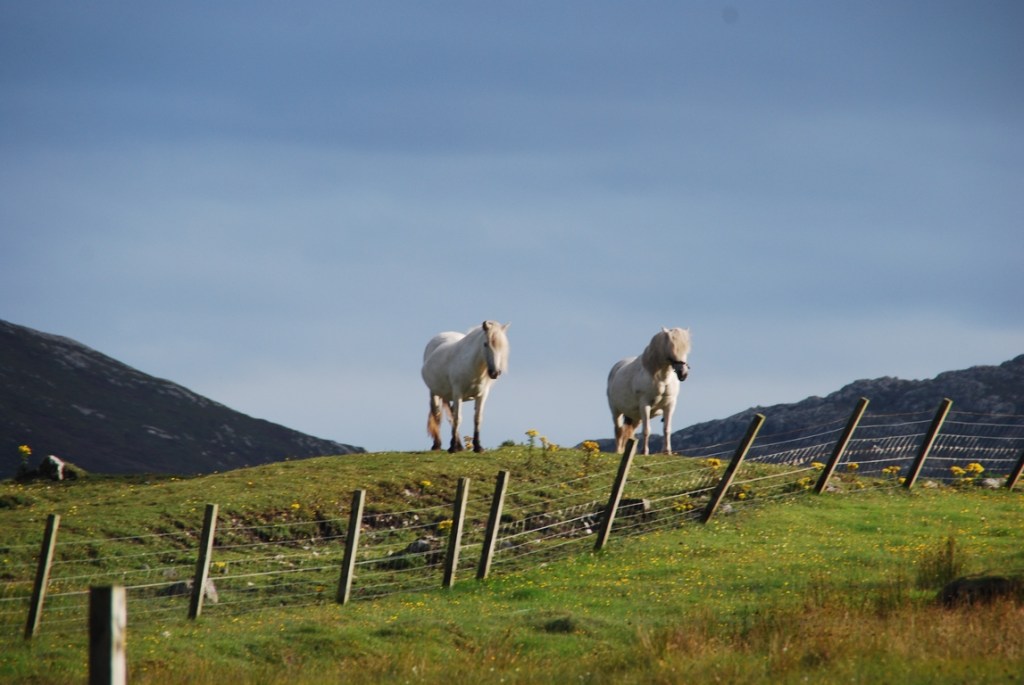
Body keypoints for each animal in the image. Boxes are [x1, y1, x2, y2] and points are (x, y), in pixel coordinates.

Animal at [421, 320, 510, 453]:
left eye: (502, 346)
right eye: (485, 344)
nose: (494, 373)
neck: (472, 367)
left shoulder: (482, 396)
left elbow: (477, 418)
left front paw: (478, 446)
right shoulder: (458, 394)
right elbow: (458, 418)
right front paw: (452, 447)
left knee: (450, 416)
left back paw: (459, 446)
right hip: (434, 393)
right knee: (437, 414)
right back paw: (437, 445)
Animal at [606, 327, 691, 456]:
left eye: (686, 349)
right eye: (671, 347)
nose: (683, 374)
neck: (662, 379)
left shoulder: (670, 405)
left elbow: (667, 429)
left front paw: (667, 451)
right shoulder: (645, 404)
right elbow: (647, 430)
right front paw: (645, 452)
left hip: (635, 417)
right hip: (616, 411)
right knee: (619, 430)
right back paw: (618, 451)